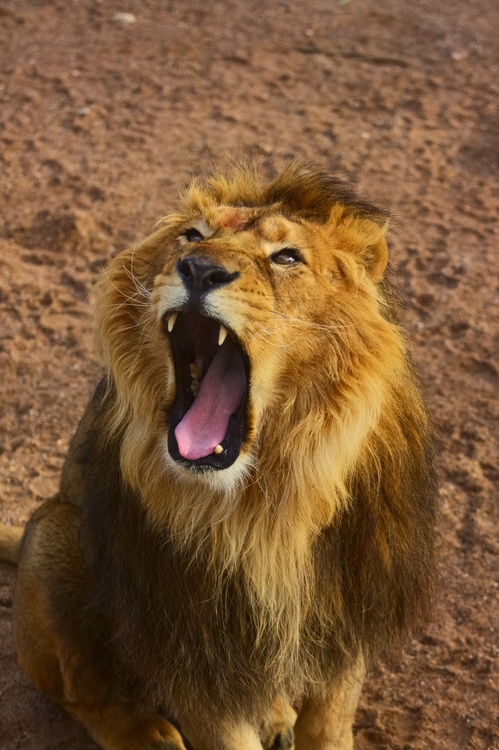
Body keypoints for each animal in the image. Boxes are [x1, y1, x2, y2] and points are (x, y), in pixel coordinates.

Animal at [0, 161, 437, 750]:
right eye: (193, 236)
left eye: (287, 257)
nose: (200, 269)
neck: (269, 503)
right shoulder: (191, 648)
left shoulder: (348, 617)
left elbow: (329, 727)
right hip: (53, 534)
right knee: (85, 697)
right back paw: (148, 735)